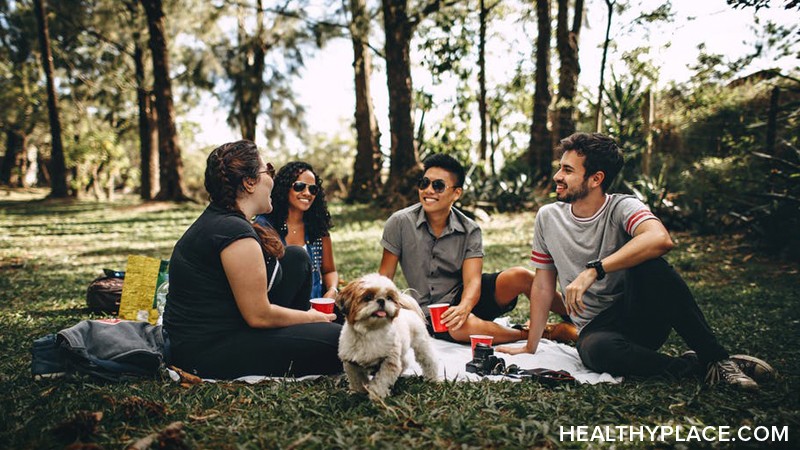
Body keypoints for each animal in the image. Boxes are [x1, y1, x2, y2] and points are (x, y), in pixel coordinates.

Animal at [336, 272, 440, 400]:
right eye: (368, 297)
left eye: (389, 298)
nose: (381, 300)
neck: (370, 331)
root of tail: (408, 310)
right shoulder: (351, 363)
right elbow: (357, 379)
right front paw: (357, 392)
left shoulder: (389, 360)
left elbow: (381, 380)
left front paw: (376, 395)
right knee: (404, 362)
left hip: (421, 344)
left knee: (429, 361)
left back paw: (432, 378)